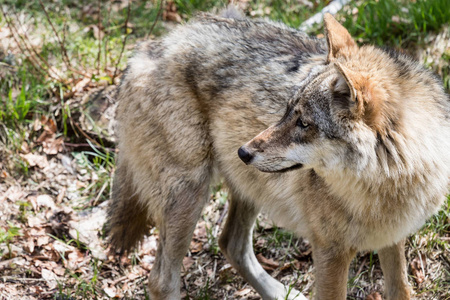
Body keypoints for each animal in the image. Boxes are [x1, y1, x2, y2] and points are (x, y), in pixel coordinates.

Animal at [107, 8, 450, 298]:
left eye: (303, 123)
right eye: (287, 111)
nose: (243, 151)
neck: (390, 184)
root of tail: (150, 47)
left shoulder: (392, 239)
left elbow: (401, 289)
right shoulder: (331, 253)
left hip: (247, 190)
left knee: (230, 244)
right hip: (190, 195)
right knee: (161, 281)